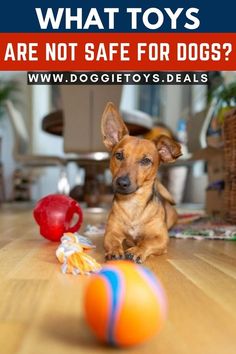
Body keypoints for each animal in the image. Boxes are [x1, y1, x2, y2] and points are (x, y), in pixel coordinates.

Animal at [100, 102, 182, 262]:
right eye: (118, 155)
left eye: (146, 161)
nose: (122, 183)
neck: (133, 204)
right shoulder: (111, 232)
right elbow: (112, 241)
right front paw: (114, 250)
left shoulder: (161, 238)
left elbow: (147, 242)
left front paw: (137, 250)